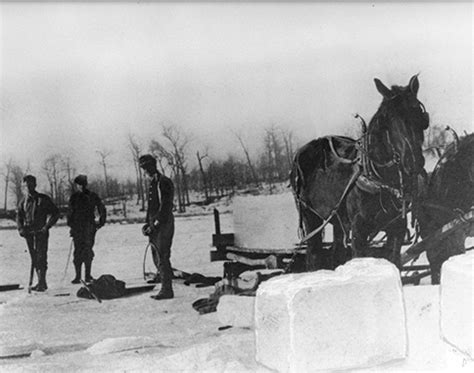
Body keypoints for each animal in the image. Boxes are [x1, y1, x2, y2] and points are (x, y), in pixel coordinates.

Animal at [290, 75, 432, 270]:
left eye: (419, 114)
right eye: (388, 118)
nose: (413, 161)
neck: (380, 179)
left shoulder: (397, 228)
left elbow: (394, 261)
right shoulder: (358, 231)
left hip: (338, 222)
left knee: (336, 252)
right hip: (310, 217)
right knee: (313, 255)